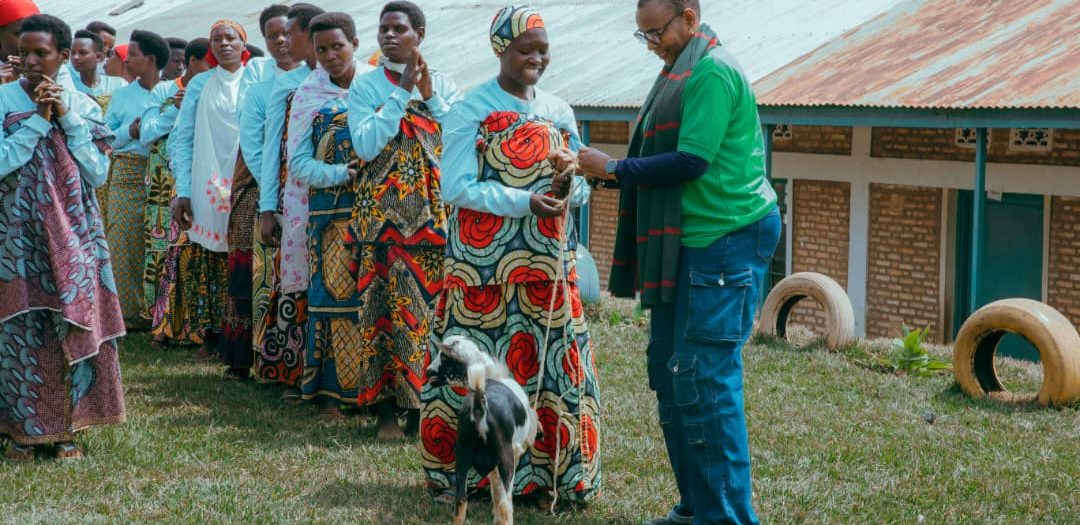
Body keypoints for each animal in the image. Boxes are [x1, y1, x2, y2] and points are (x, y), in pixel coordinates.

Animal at [427, 335, 539, 525]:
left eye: (444, 357)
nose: (428, 372)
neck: (491, 375)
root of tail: (479, 407)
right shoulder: (514, 453)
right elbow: (501, 496)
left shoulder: (491, 467)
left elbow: (495, 491)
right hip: (506, 459)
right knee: (505, 505)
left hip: (462, 458)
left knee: (461, 502)